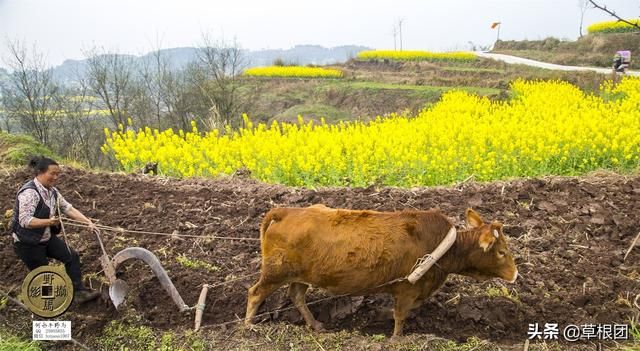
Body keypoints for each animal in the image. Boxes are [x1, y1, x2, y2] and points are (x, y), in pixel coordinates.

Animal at [242, 206, 516, 338]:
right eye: (502, 252)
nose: (515, 274)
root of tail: (287, 211)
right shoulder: (407, 289)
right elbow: (400, 316)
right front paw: (396, 339)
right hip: (275, 273)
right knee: (255, 293)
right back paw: (249, 327)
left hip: (302, 276)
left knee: (296, 296)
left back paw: (316, 325)